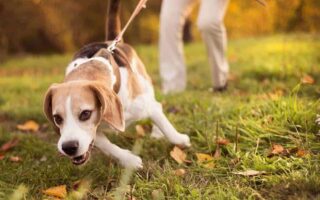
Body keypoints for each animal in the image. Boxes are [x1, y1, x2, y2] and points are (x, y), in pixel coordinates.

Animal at [43, 42, 191, 169]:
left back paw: (156, 132)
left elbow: (167, 127)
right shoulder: (94, 132)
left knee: (158, 105)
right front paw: (129, 160)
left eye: (85, 114)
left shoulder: (147, 107)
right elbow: (107, 146)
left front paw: (181, 140)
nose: (68, 147)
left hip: (146, 85)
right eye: (57, 118)